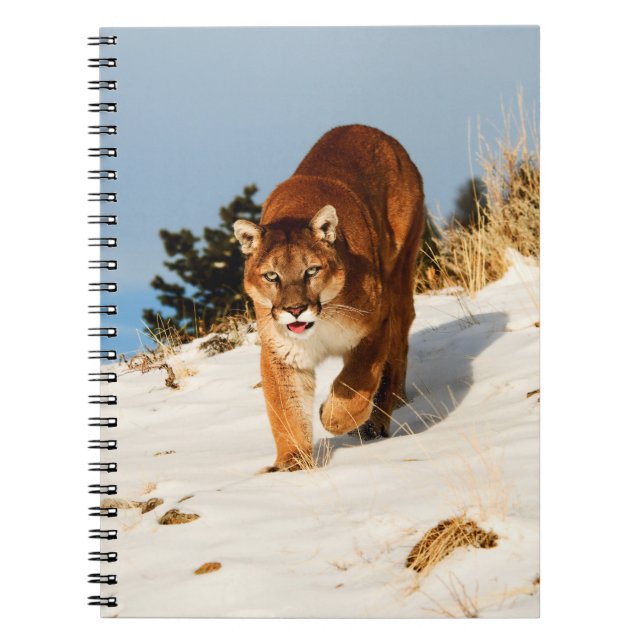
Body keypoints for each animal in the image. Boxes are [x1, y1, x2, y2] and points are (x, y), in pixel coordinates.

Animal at [233, 124, 425, 471]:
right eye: (272, 276)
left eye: (311, 270)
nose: (295, 310)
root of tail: (365, 128)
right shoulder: (281, 353)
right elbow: (286, 410)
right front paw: (292, 464)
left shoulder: (375, 326)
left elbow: (356, 382)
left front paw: (333, 417)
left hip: (401, 273)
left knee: (397, 352)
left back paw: (378, 420)